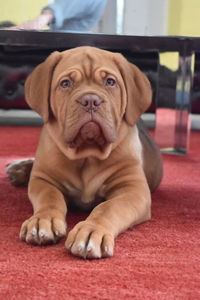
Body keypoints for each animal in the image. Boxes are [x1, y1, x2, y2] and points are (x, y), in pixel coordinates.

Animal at [7, 45, 162, 258]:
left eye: (110, 82)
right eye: (65, 83)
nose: (90, 100)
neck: (86, 154)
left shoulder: (133, 189)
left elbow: (108, 207)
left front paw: (91, 231)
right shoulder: (44, 179)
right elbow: (49, 197)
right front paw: (42, 220)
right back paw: (20, 169)